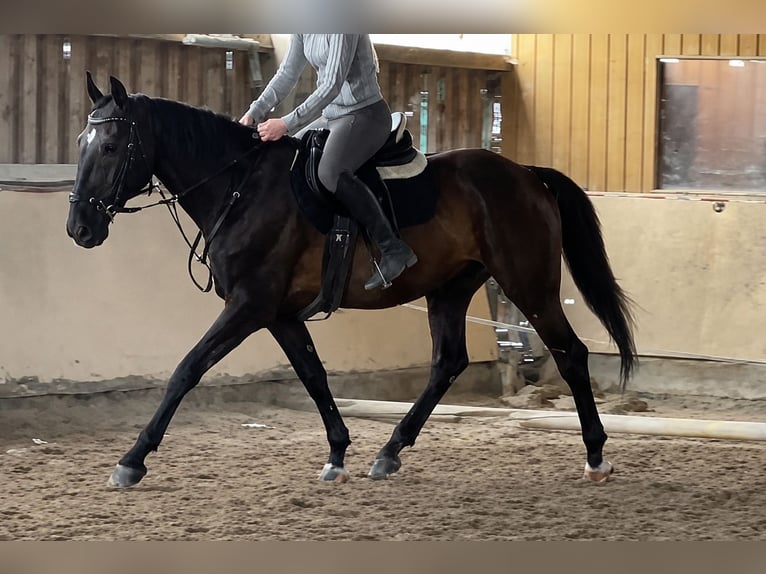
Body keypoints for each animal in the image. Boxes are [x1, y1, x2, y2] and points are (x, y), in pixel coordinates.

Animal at [66, 74, 637, 488]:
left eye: (112, 145)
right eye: (81, 142)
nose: (79, 228)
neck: (241, 188)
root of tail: (526, 173)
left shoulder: (249, 307)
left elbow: (186, 370)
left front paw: (132, 460)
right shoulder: (279, 314)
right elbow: (313, 375)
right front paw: (338, 452)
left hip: (528, 285)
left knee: (571, 354)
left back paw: (595, 454)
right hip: (450, 290)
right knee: (447, 363)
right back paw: (389, 452)